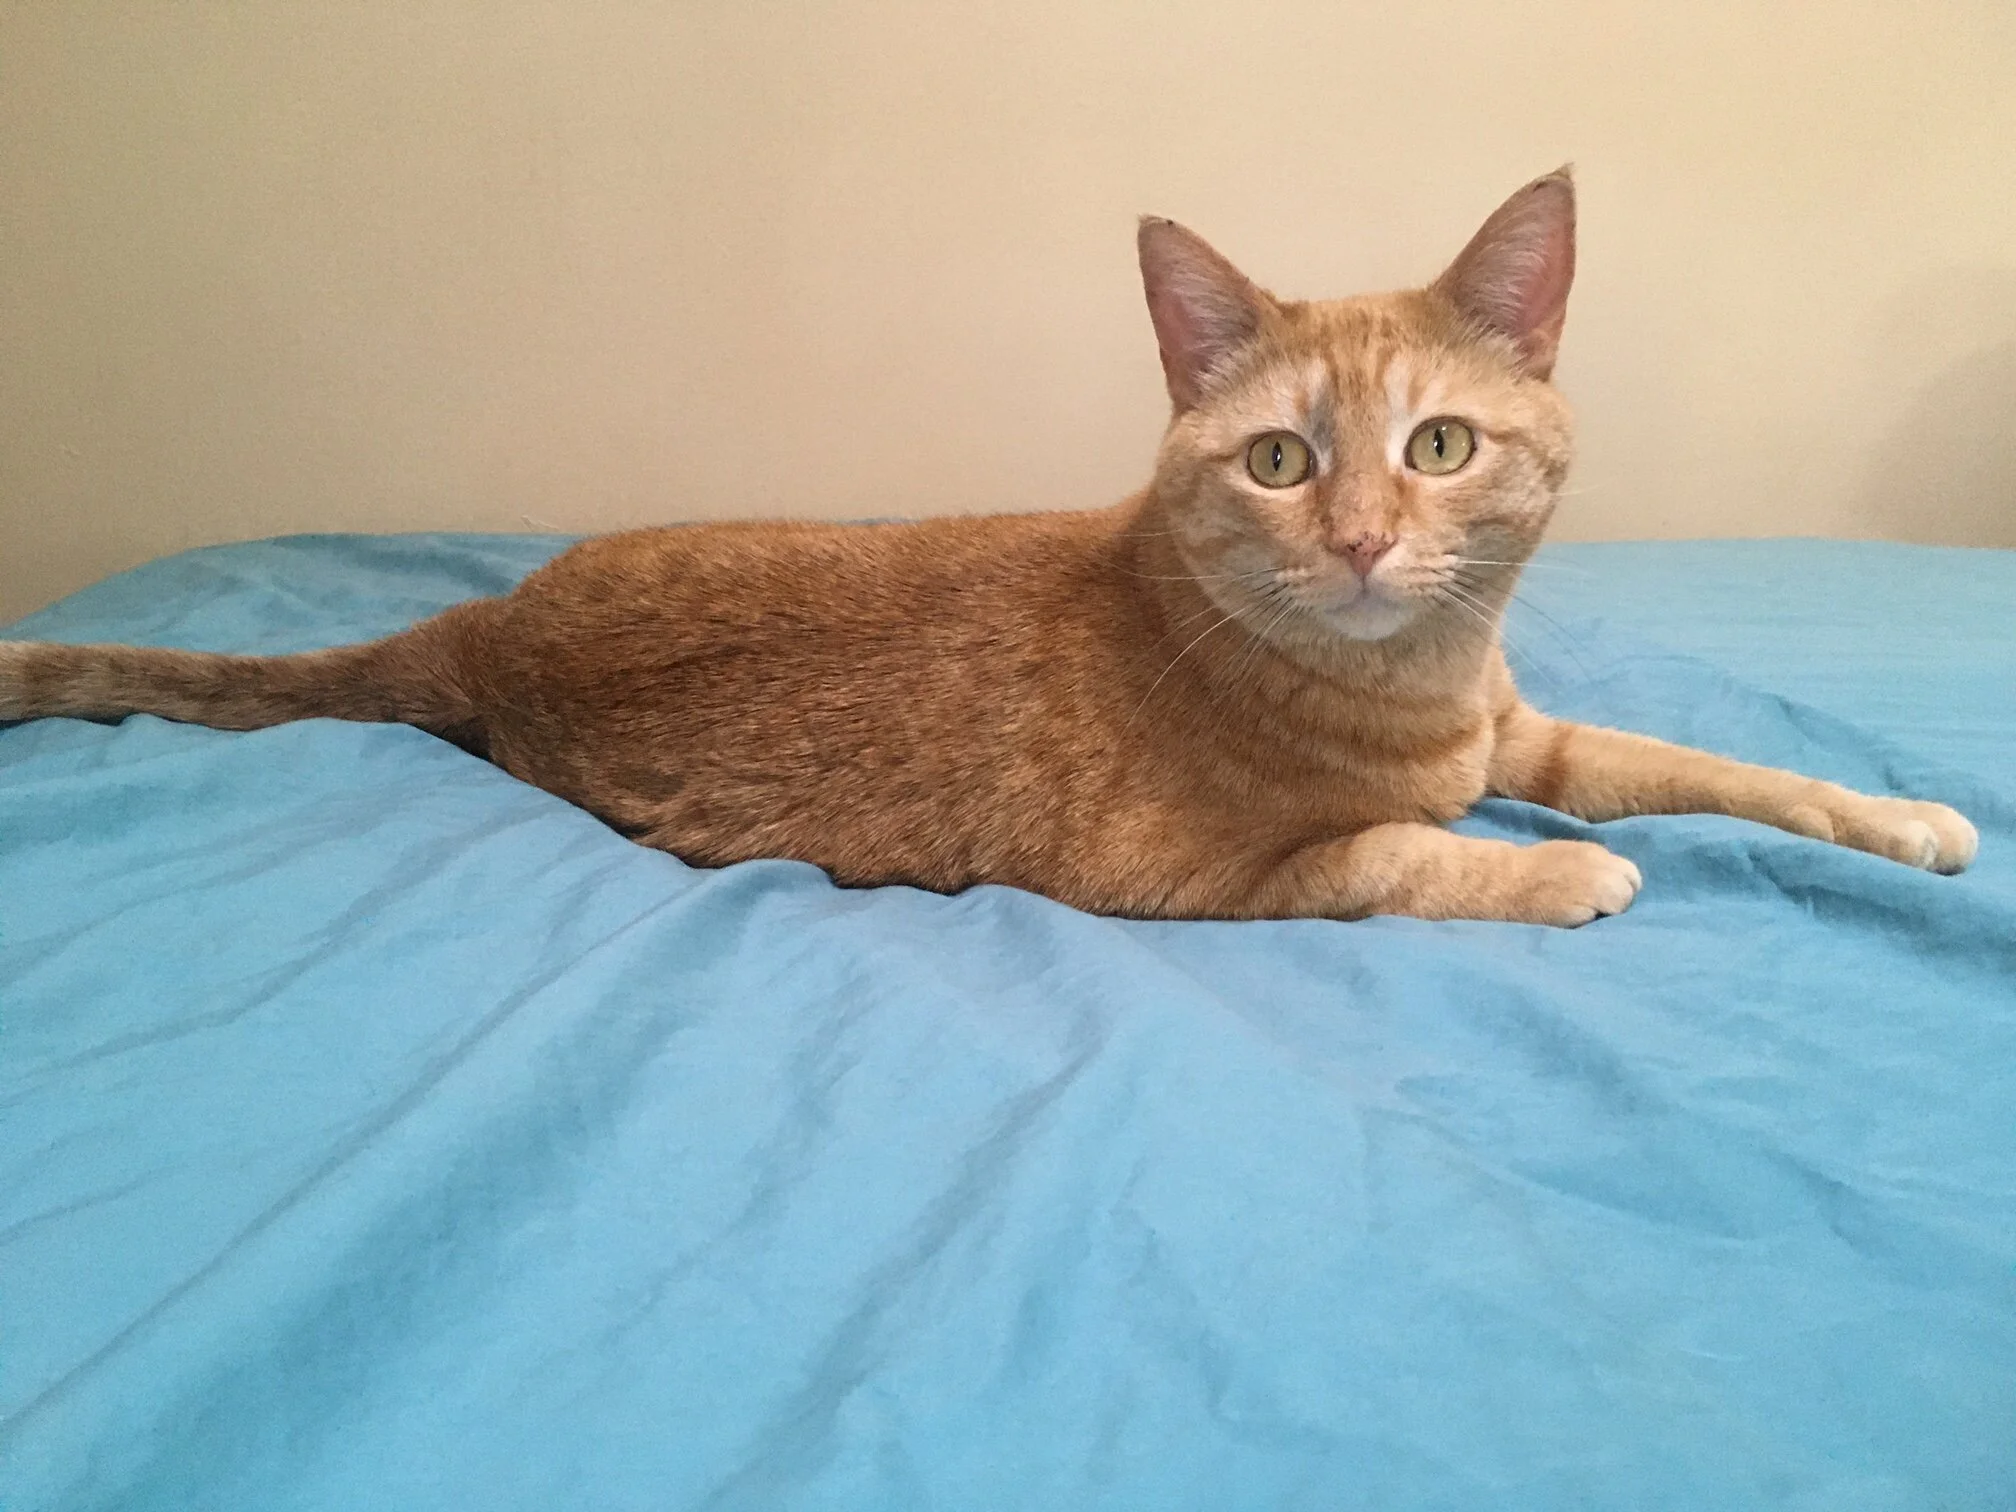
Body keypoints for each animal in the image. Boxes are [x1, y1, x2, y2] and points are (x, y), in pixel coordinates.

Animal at [0, 169, 1978, 924]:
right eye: (1280, 459)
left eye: (1435, 447)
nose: (1353, 540)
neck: (1417, 683)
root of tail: (488, 627)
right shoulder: (1209, 881)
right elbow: (1407, 856)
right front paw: (1565, 876)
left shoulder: (1530, 735)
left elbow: (1712, 766)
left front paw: (1899, 819)